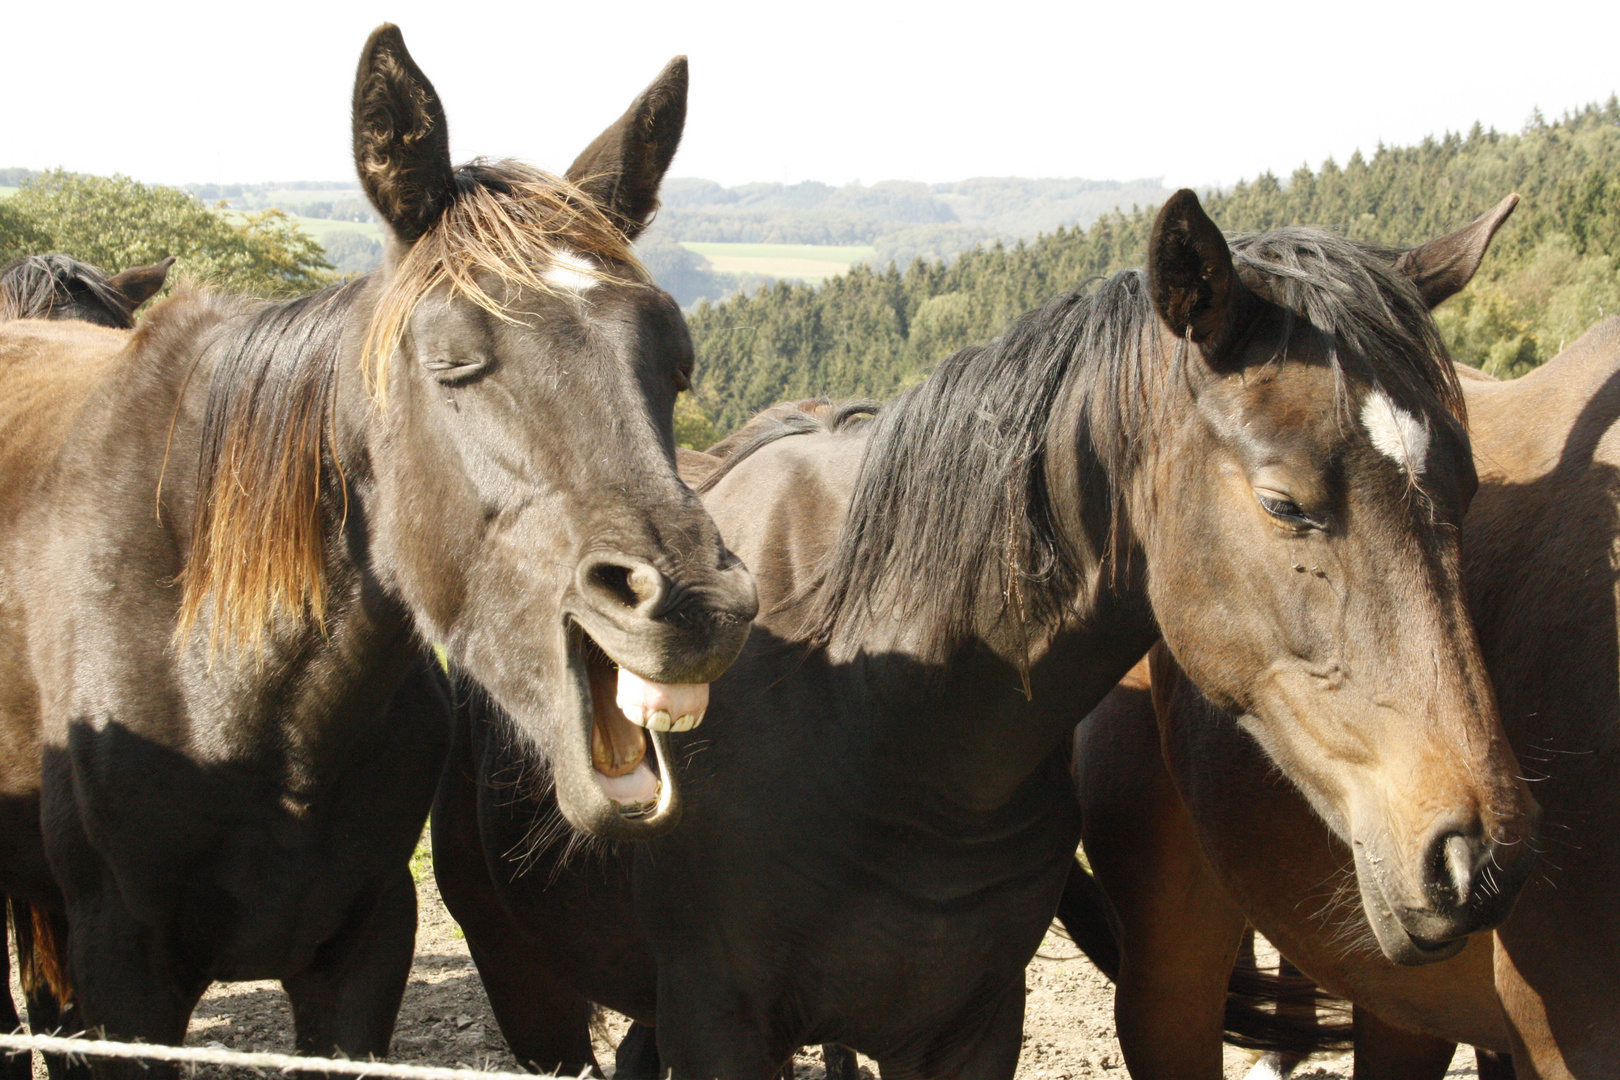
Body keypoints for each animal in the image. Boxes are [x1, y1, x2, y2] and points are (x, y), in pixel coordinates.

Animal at [434, 194, 1542, 1080]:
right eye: (1285, 503)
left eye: (1467, 489)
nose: (1474, 858)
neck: (875, 722)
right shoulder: (720, 1021)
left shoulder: (969, 1027)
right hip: (533, 992)